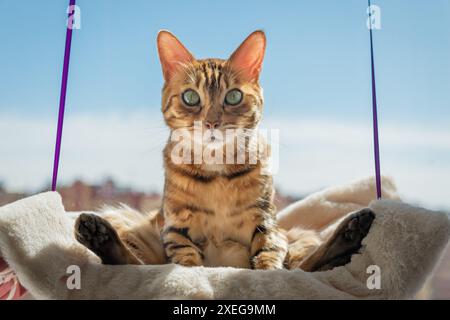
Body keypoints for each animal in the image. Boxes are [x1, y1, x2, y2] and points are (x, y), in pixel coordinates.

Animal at [74, 29, 374, 270]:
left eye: (233, 96)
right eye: (190, 97)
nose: (211, 122)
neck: (216, 167)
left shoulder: (268, 224)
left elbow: (271, 258)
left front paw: (267, 272)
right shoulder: (175, 228)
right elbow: (186, 262)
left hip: (299, 237)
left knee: (306, 266)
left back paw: (350, 233)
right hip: (130, 223)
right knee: (134, 263)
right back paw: (96, 233)